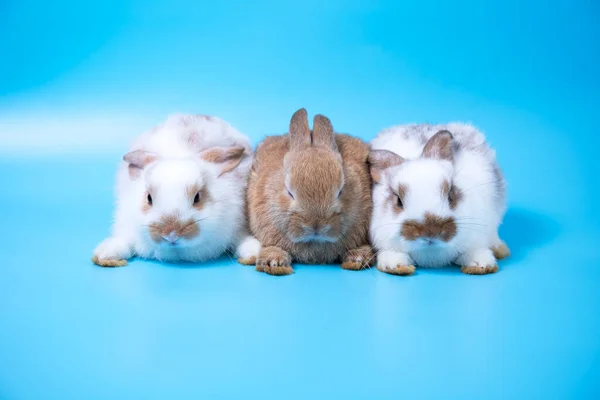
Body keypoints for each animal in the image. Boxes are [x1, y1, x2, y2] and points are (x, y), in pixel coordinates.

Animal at [92, 114, 255, 268]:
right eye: (149, 198)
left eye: (197, 197)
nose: (171, 234)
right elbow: (124, 241)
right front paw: (104, 255)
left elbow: (241, 239)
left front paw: (253, 253)